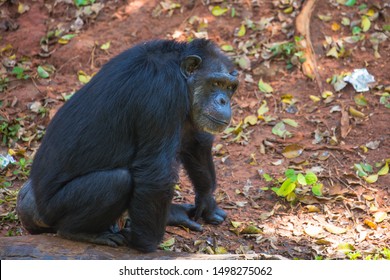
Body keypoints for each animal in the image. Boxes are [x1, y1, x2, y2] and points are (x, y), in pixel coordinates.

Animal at [16, 37, 238, 254]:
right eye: (216, 82)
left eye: (229, 87)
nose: (223, 100)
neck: (178, 70)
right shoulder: (163, 94)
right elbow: (157, 175)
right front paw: (145, 246)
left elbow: (194, 141)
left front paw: (207, 201)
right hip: (54, 210)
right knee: (117, 181)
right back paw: (80, 232)